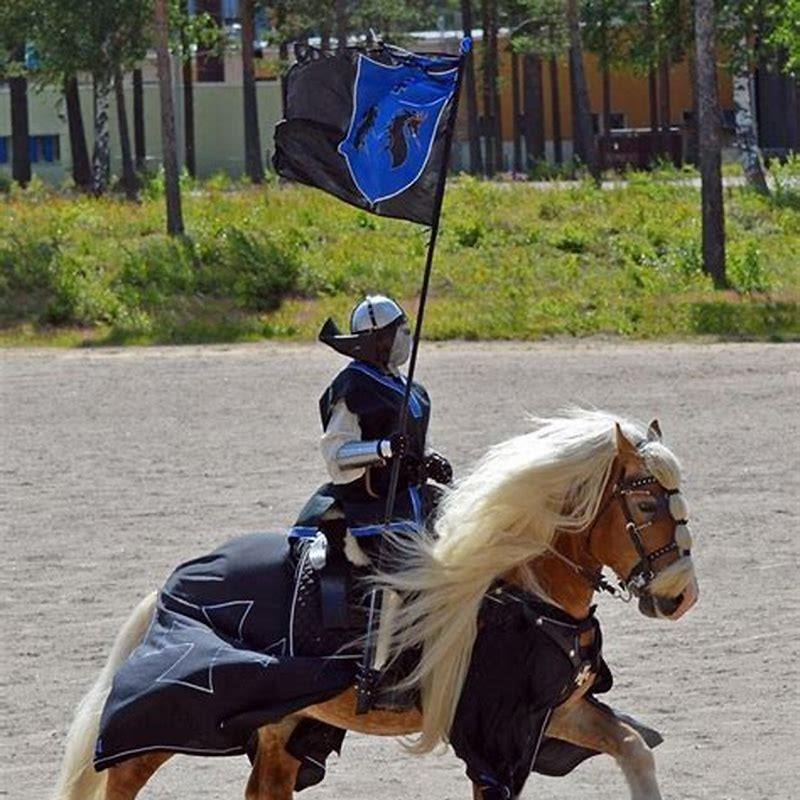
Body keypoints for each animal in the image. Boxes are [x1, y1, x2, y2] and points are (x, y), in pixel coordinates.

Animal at [52, 410, 698, 800]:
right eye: (645, 507)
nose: (681, 596)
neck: (523, 588)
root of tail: (171, 584)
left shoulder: (558, 713)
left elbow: (633, 748)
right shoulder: (496, 738)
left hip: (283, 730)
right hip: (166, 720)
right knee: (120, 778)